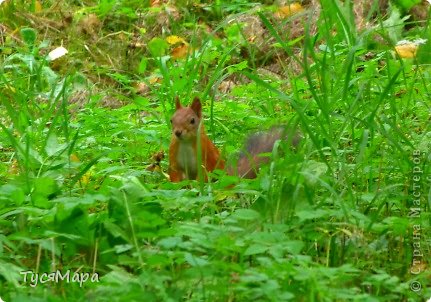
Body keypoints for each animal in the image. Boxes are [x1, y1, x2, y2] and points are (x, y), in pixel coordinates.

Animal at [169, 96, 300, 182]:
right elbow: (174, 173)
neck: (186, 142)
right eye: (171, 120)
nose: (178, 133)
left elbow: (203, 174)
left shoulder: (204, 154)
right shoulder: (174, 155)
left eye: (192, 120)